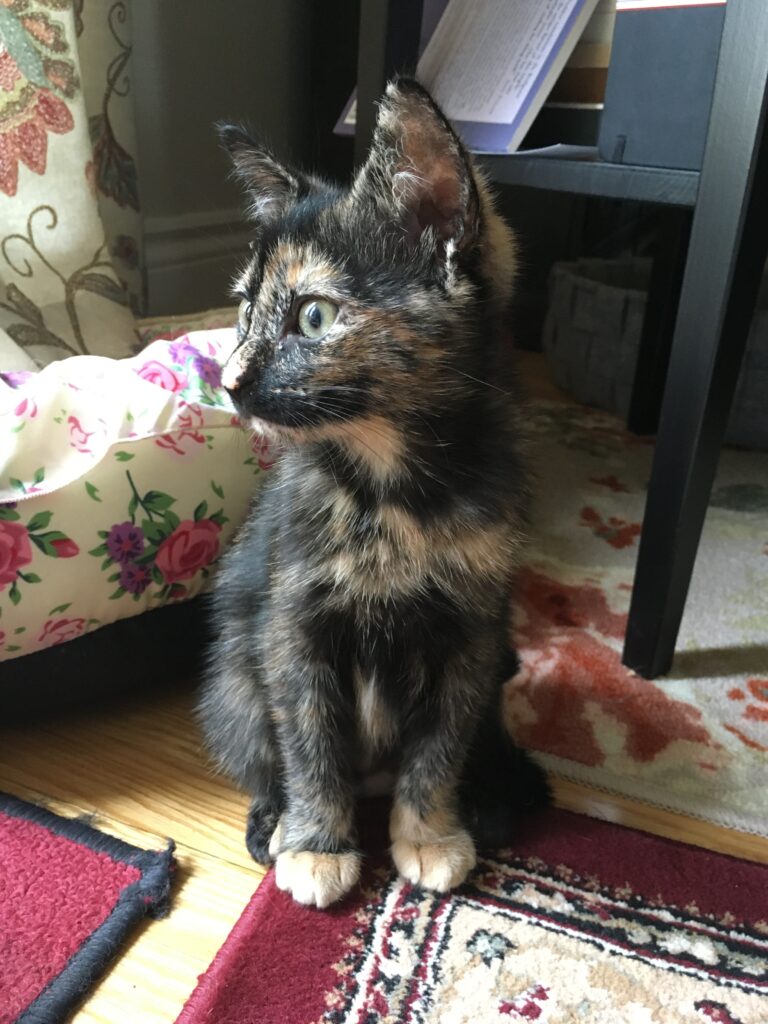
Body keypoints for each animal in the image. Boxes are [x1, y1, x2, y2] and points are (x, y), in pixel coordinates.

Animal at [198, 81, 548, 913]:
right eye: (244, 311)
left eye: (313, 316)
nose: (229, 379)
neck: (393, 495)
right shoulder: (291, 621)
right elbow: (308, 739)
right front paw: (316, 845)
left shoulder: (473, 629)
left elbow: (442, 743)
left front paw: (430, 833)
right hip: (232, 679)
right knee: (259, 742)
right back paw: (272, 819)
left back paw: (491, 798)